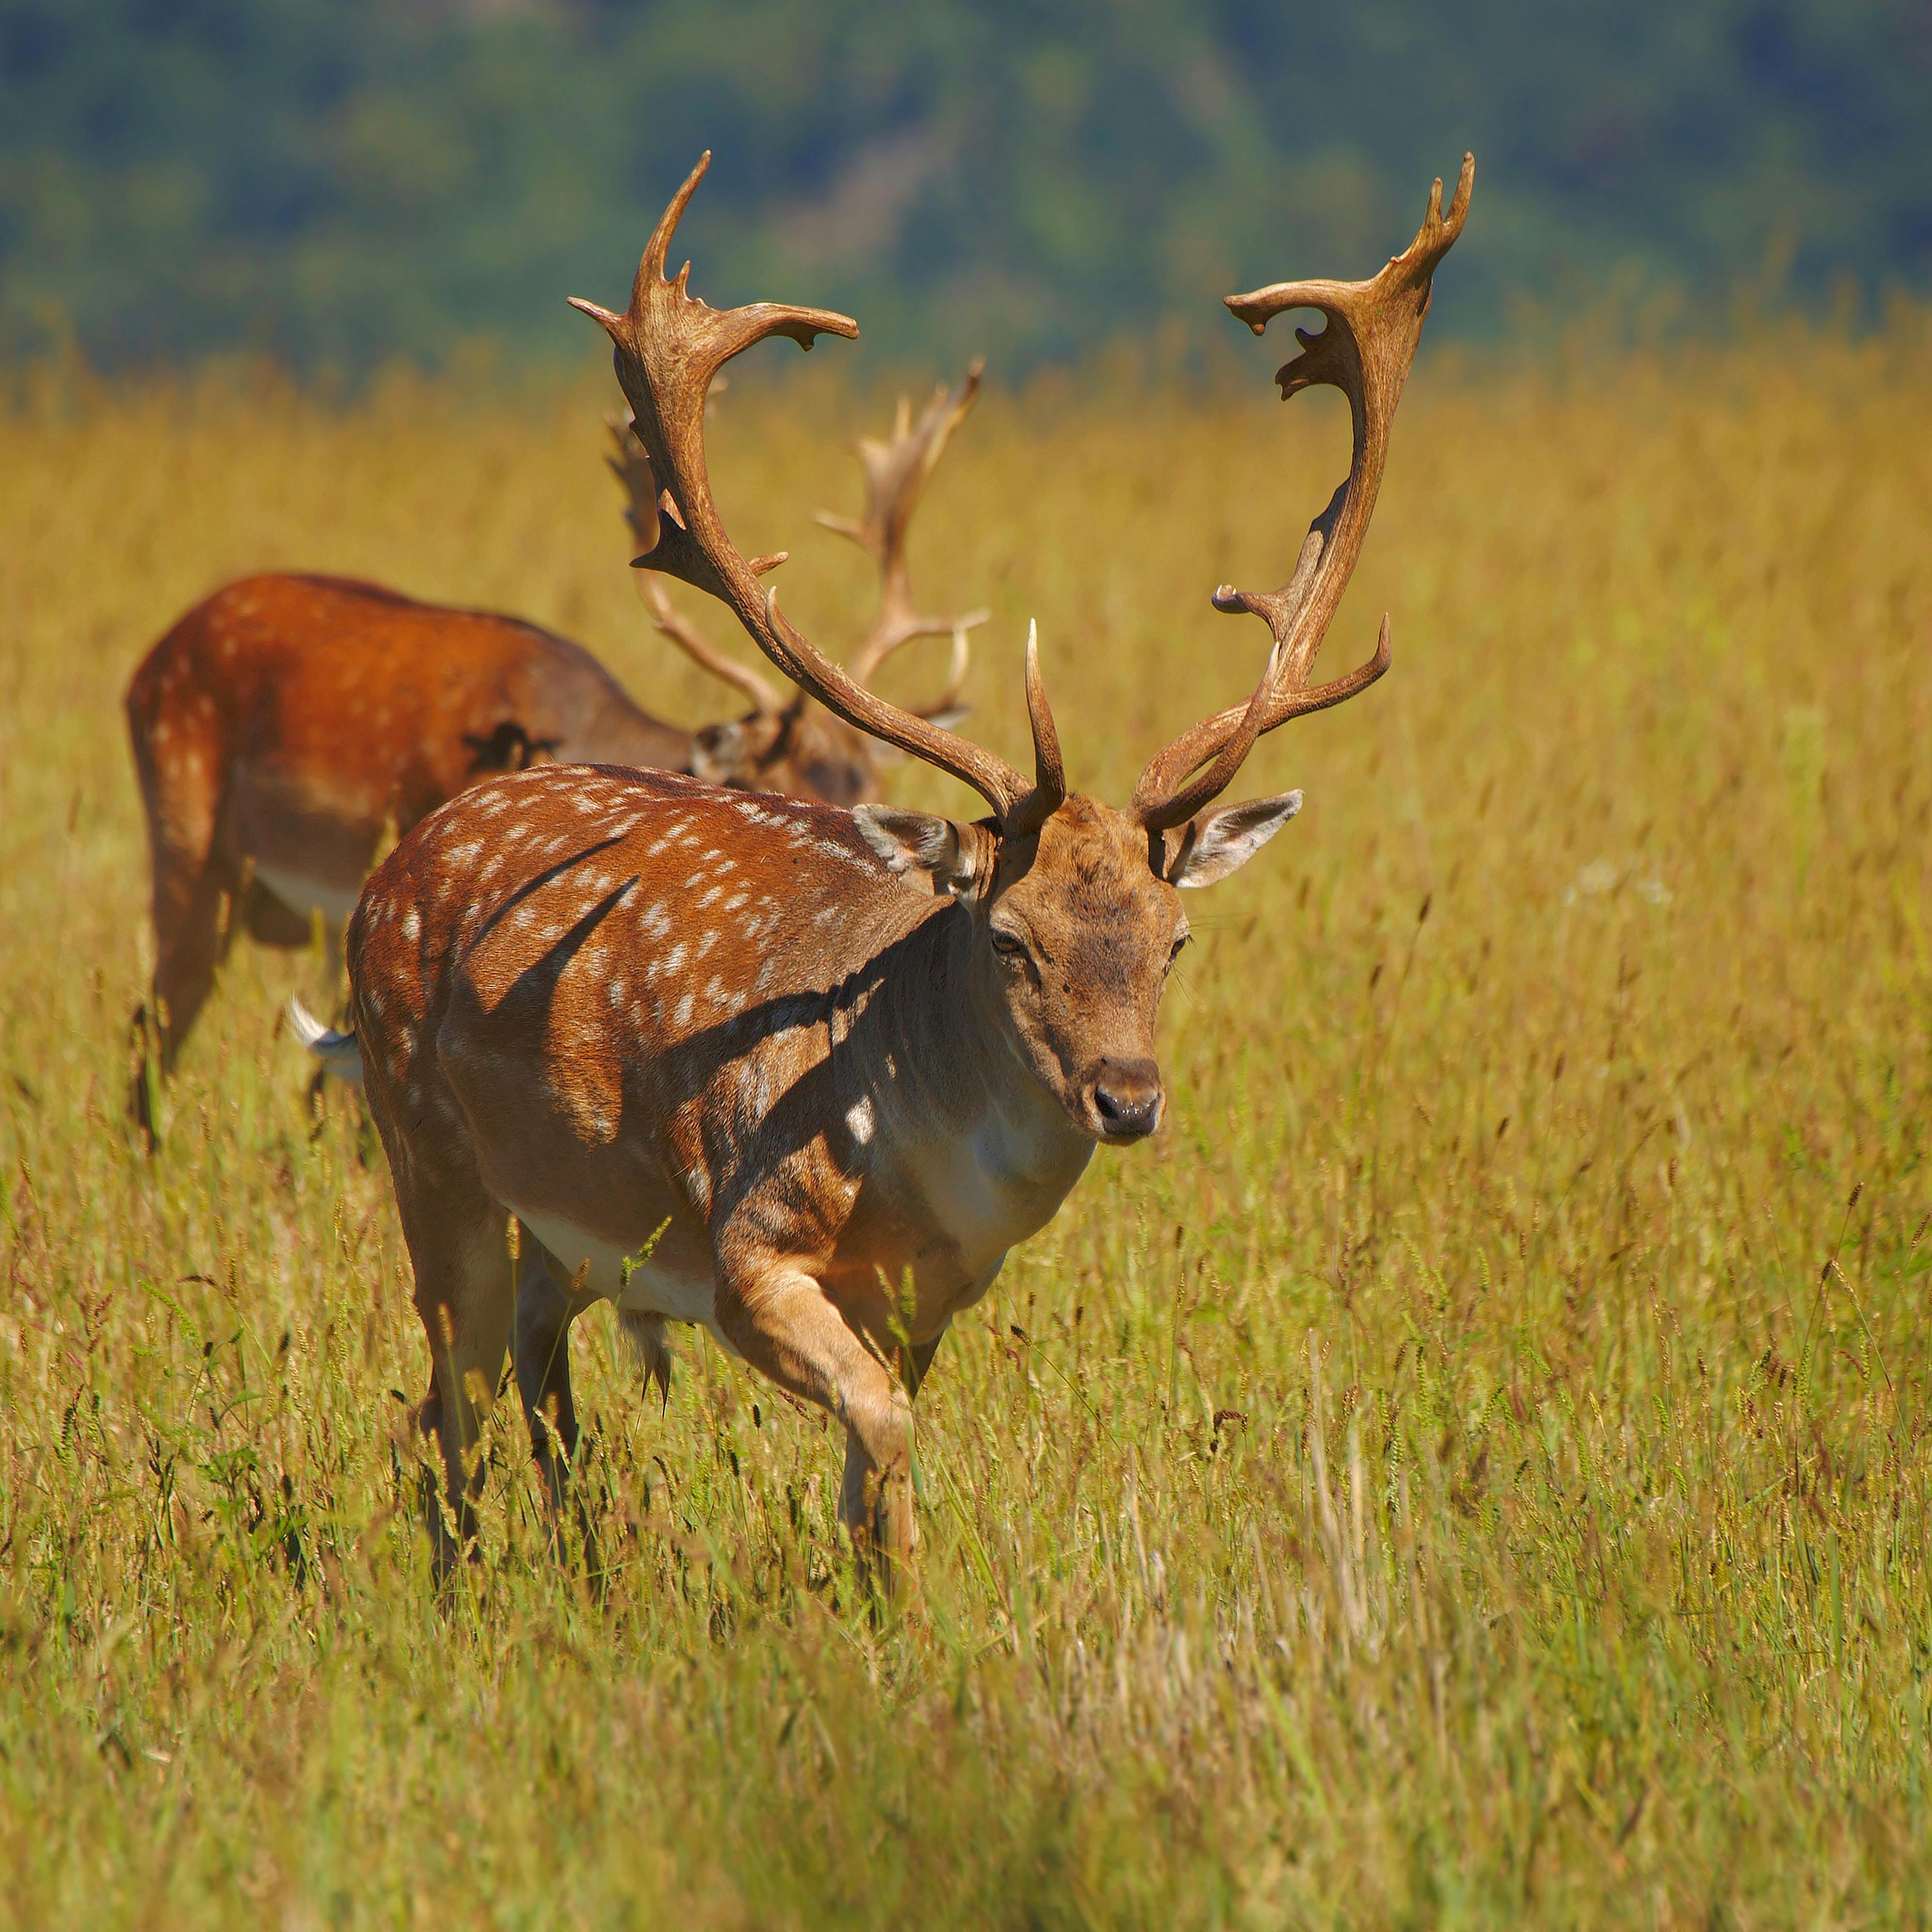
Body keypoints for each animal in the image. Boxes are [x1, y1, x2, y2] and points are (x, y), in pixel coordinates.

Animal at [317, 154, 1468, 1584]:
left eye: (1175, 938)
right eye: (1010, 937)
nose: (1127, 1096)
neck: (915, 1176)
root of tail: (397, 865)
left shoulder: (931, 1299)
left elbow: (881, 1454)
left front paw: (882, 1592)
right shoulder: (743, 1245)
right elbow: (881, 1425)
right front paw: (905, 1602)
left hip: (563, 1231)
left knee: (521, 1371)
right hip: (426, 1146)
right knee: (448, 1394)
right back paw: (465, 1581)